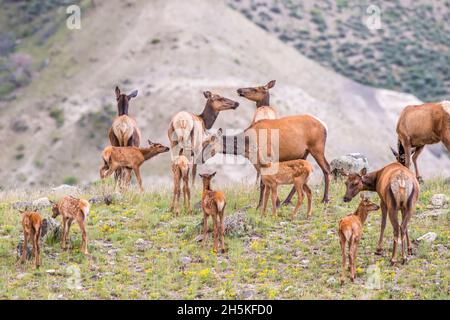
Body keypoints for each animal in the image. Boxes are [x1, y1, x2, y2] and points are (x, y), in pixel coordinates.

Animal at [202, 115, 332, 205]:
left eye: (208, 143)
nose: (201, 158)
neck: (247, 145)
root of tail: (325, 126)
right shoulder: (257, 161)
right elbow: (264, 182)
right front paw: (272, 203)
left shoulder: (268, 158)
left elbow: (264, 183)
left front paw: (264, 205)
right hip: (303, 154)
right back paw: (287, 200)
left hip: (317, 148)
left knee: (326, 168)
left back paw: (325, 199)